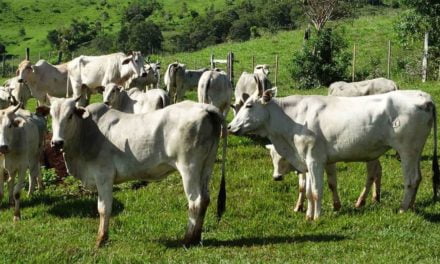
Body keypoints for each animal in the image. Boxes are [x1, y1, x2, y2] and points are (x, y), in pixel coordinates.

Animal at [49, 96, 225, 248]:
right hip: (206, 166)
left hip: (189, 168)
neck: (86, 132)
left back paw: (187, 239)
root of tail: (204, 107)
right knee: (205, 199)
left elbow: (104, 208)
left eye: (70, 115)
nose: (57, 142)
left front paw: (101, 239)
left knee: (195, 201)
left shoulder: (103, 176)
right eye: (51, 115)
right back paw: (197, 237)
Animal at [229, 85, 438, 220]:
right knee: (417, 177)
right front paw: (308, 215)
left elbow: (315, 190)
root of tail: (424, 97)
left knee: (410, 179)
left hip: (407, 150)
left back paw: (403, 209)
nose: (230, 127)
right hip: (415, 151)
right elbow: (308, 190)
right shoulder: (307, 160)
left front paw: (317, 217)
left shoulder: (314, 160)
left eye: (249, 105)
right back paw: (410, 206)